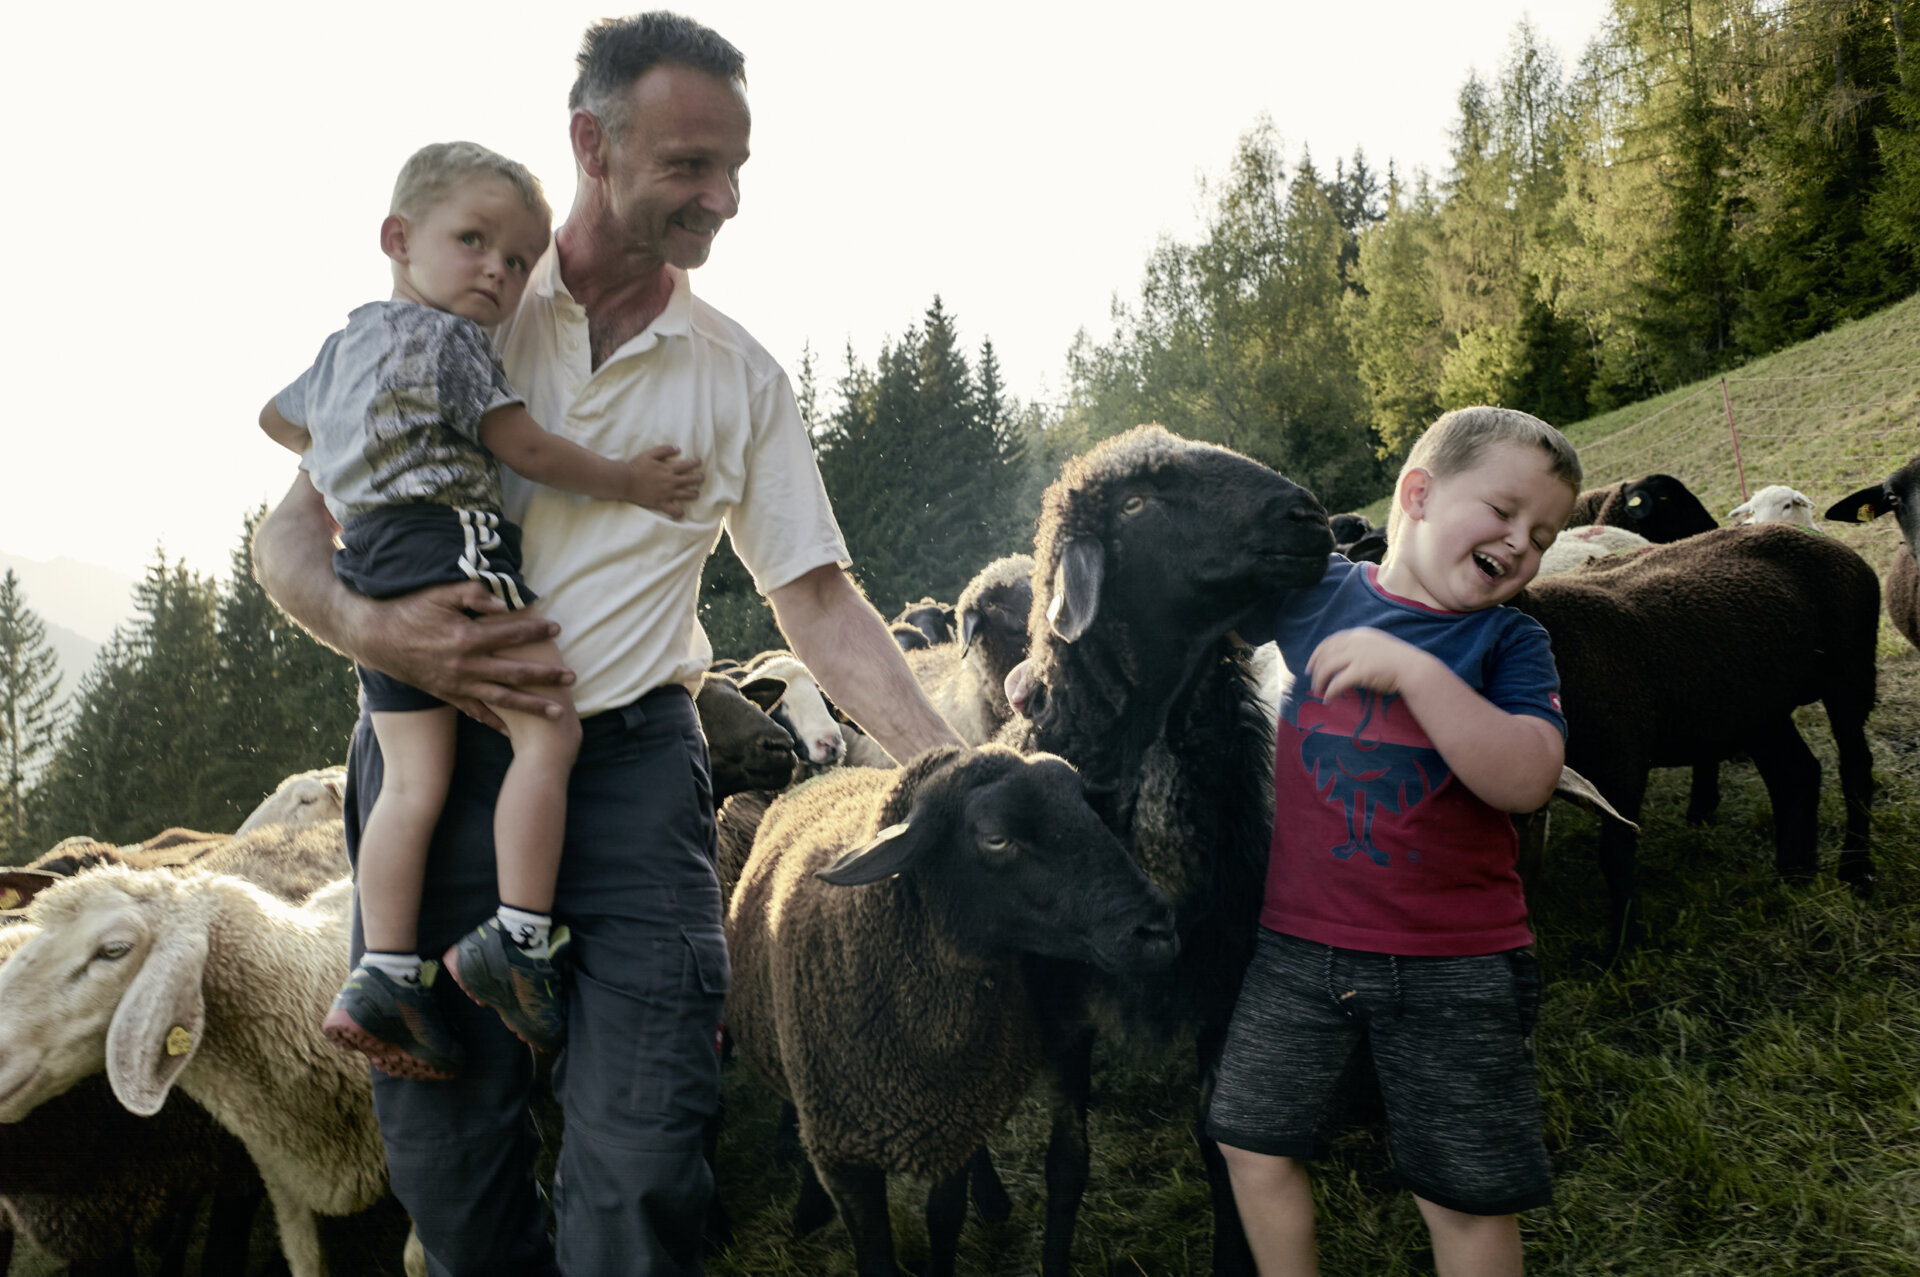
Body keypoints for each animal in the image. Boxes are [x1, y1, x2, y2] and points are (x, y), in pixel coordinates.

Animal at [721, 741, 1175, 1267]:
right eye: (995, 838)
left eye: (1090, 810)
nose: (1159, 932)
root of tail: (833, 771)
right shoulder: (845, 1154)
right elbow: (876, 1254)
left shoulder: (952, 1119)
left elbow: (944, 1217)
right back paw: (809, 1208)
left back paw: (993, 1200)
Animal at [998, 422, 1328, 1267]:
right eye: (1137, 503)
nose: (1308, 516)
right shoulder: (1064, 1006)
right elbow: (1066, 1160)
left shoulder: (1224, 975)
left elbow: (1219, 1151)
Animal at [1512, 522, 1873, 940]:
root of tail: (1821, 539)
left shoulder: (1622, 758)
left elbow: (1616, 851)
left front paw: (1624, 941)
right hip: (1756, 707)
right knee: (1796, 774)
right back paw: (1796, 873)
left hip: (1849, 673)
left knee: (1855, 768)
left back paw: (1856, 871)